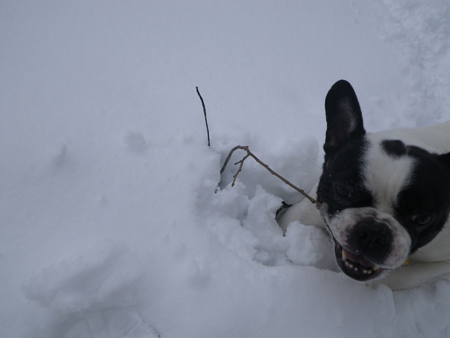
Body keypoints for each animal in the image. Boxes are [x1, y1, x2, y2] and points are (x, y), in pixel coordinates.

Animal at [278, 80, 450, 290]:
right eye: (342, 190)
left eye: (423, 218)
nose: (374, 231)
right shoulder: (309, 208)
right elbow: (292, 219)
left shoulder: (443, 263)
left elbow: (399, 278)